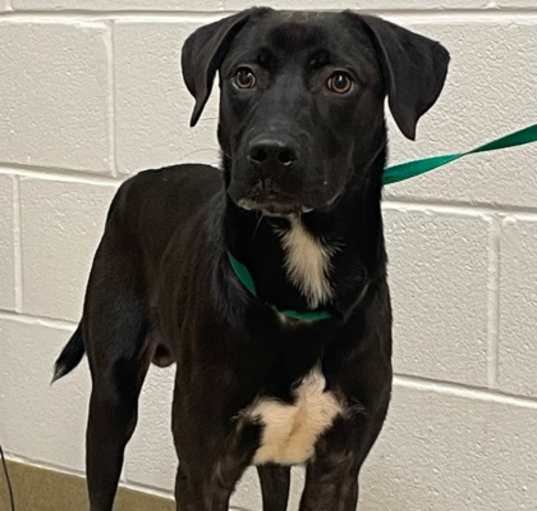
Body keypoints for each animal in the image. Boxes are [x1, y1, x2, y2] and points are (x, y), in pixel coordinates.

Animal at [53, 7, 448, 508]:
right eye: (244, 76)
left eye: (340, 81)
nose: (271, 153)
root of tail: (134, 182)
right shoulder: (202, 471)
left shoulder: (338, 469)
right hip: (111, 402)